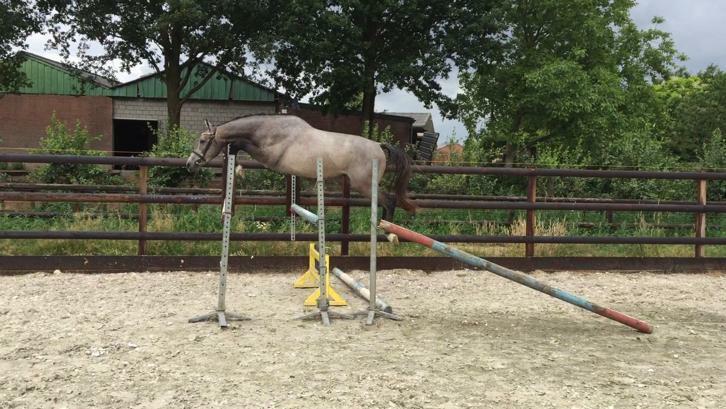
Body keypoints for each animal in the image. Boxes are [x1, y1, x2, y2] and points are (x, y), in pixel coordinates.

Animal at [185, 114, 417, 220]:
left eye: (203, 141)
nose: (190, 164)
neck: (268, 130)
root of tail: (379, 146)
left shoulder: (270, 157)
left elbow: (242, 145)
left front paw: (239, 167)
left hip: (365, 185)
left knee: (389, 202)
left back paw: (387, 232)